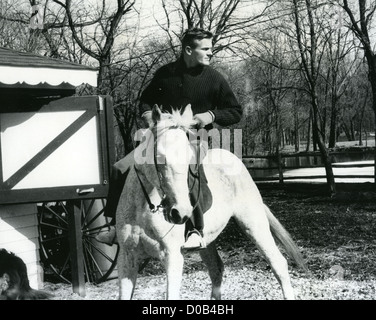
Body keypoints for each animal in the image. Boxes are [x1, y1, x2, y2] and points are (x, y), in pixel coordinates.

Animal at [116, 104, 306, 300]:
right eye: (160, 157)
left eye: (189, 159)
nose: (181, 213)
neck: (143, 208)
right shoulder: (127, 258)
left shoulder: (172, 256)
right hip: (207, 240)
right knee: (216, 268)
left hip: (254, 224)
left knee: (278, 263)